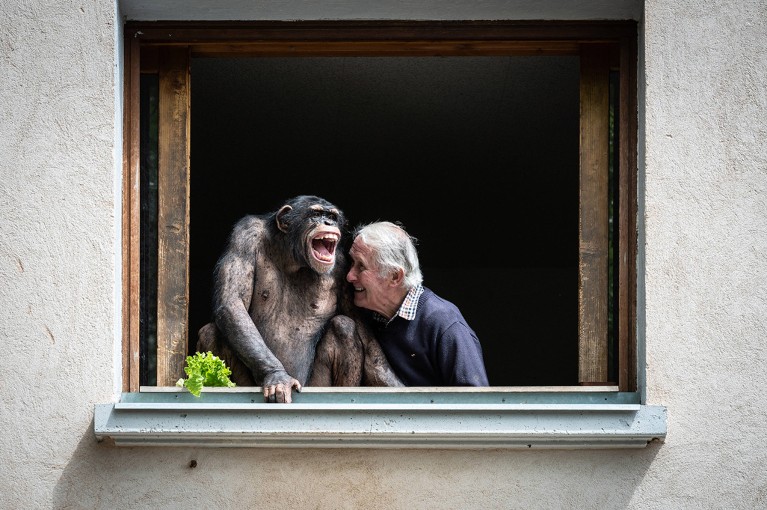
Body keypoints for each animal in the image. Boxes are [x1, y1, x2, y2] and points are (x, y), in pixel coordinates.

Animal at [196, 195, 403, 403]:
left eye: (332, 216)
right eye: (316, 214)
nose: (328, 222)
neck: (293, 259)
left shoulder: (344, 268)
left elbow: (366, 341)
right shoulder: (245, 235)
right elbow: (233, 302)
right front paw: (277, 376)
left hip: (315, 385)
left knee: (344, 326)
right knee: (210, 332)